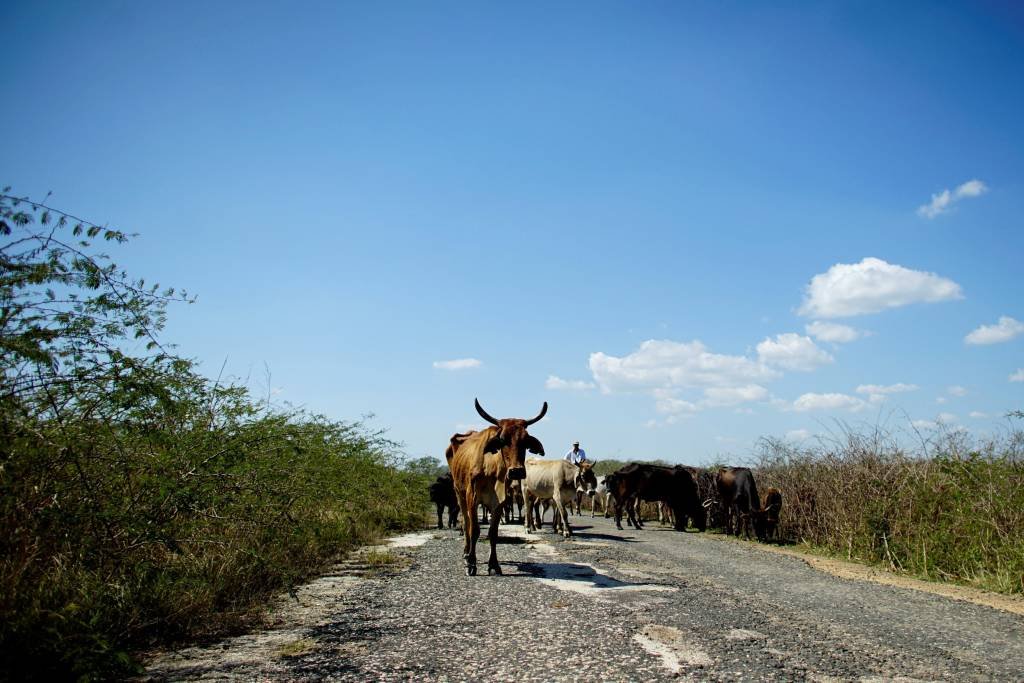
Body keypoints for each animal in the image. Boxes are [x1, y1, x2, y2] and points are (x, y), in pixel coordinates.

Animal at [446, 397, 548, 573]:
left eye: (525, 441)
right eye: (502, 440)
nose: (516, 471)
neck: (492, 469)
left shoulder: (500, 501)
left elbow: (493, 533)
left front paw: (493, 564)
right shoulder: (472, 497)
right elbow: (474, 530)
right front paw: (471, 563)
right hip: (459, 493)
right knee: (466, 523)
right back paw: (466, 553)